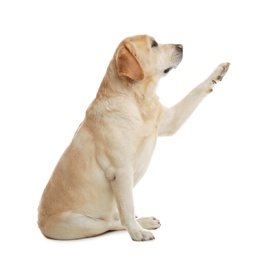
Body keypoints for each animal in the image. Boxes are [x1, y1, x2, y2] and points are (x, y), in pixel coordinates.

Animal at [37, 34, 229, 242]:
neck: (139, 101)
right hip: (79, 222)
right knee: (111, 222)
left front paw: (218, 72)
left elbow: (195, 91)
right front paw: (137, 233)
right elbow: (128, 208)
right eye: (154, 44)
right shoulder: (121, 171)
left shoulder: (170, 120)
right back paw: (141, 225)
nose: (181, 45)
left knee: (115, 218)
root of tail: (39, 224)